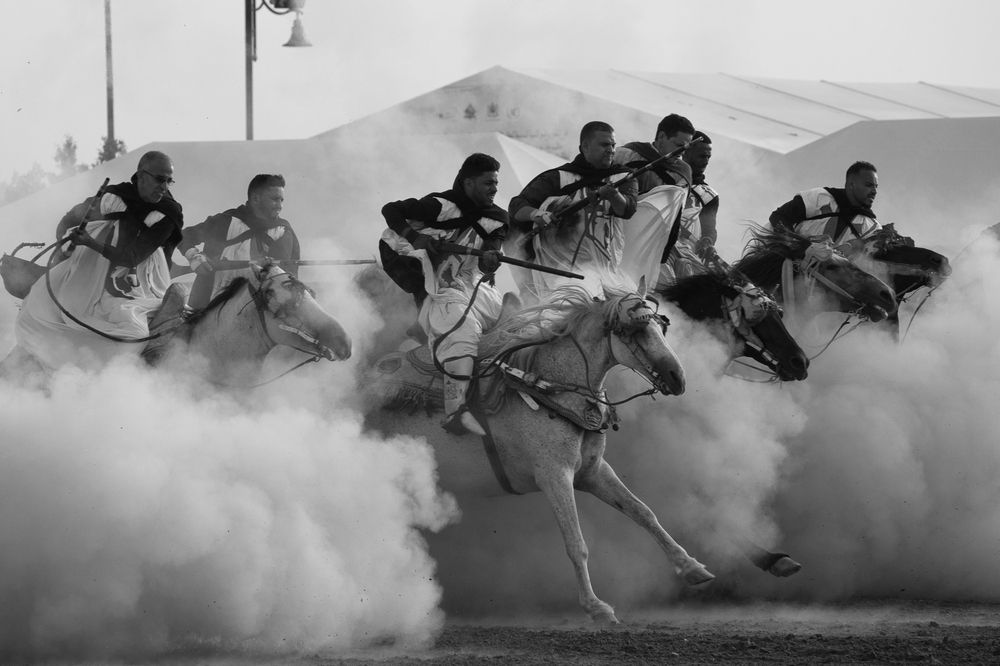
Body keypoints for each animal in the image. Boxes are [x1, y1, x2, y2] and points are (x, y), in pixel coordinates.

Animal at [365, 284, 714, 624]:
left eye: (661, 327)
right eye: (636, 331)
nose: (678, 378)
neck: (548, 386)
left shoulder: (593, 472)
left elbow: (643, 512)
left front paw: (691, 567)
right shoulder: (554, 476)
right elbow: (576, 542)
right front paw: (595, 606)